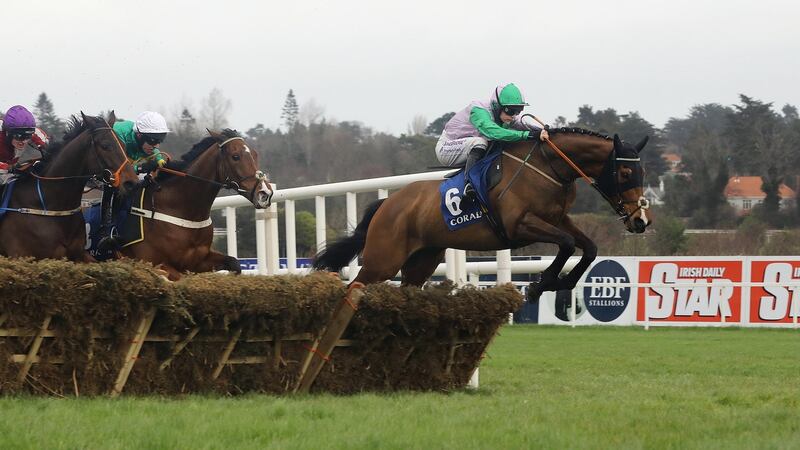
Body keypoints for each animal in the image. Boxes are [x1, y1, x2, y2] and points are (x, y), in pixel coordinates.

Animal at [115, 128, 272, 280]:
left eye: (255, 154)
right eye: (235, 156)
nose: (265, 193)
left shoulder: (198, 262)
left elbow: (234, 263)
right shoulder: (153, 261)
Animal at [312, 126, 648, 300]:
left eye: (643, 172)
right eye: (625, 173)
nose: (641, 220)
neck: (548, 166)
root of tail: (388, 204)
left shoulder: (557, 219)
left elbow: (588, 248)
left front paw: (560, 282)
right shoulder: (519, 224)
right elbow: (566, 244)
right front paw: (540, 284)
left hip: (421, 261)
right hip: (383, 260)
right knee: (356, 285)